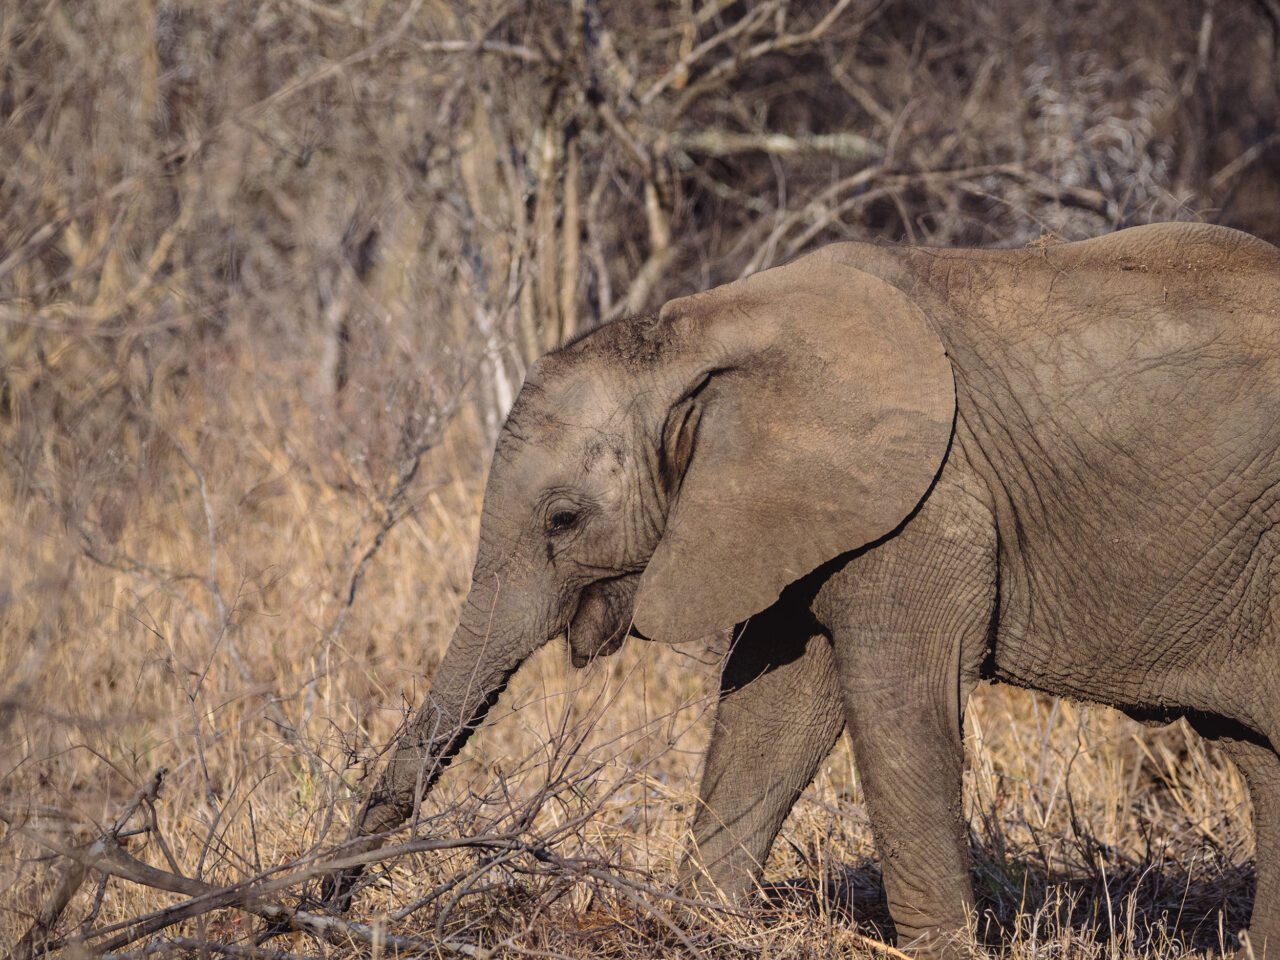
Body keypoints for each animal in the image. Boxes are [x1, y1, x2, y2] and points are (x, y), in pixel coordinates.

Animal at [327, 221, 1280, 956]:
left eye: (562, 520)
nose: (323, 911)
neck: (696, 334)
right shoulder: (800, 511)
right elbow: (775, 704)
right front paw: (697, 927)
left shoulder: (927, 505)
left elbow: (894, 704)